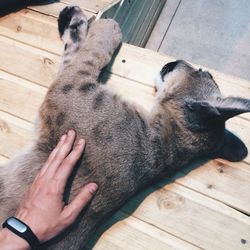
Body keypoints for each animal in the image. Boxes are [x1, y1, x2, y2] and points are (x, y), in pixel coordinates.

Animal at [0, 5, 250, 250]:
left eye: (202, 71)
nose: (177, 61)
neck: (168, 143)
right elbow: (74, 54)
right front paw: (76, 23)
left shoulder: (71, 87)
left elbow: (89, 55)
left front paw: (103, 26)